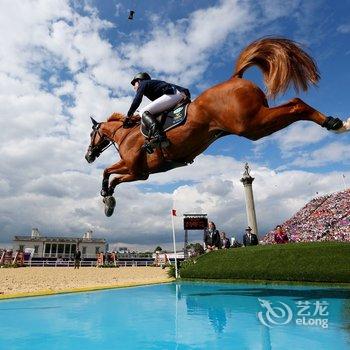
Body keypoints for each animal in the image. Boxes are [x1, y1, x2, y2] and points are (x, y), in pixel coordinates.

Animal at [85, 36, 350, 216]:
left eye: (91, 134)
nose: (88, 156)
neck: (125, 134)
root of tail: (236, 78)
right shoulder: (141, 172)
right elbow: (112, 176)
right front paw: (109, 201)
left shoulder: (137, 170)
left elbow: (108, 172)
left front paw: (107, 200)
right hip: (255, 124)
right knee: (295, 104)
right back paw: (337, 123)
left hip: (252, 125)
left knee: (296, 104)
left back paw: (335, 124)